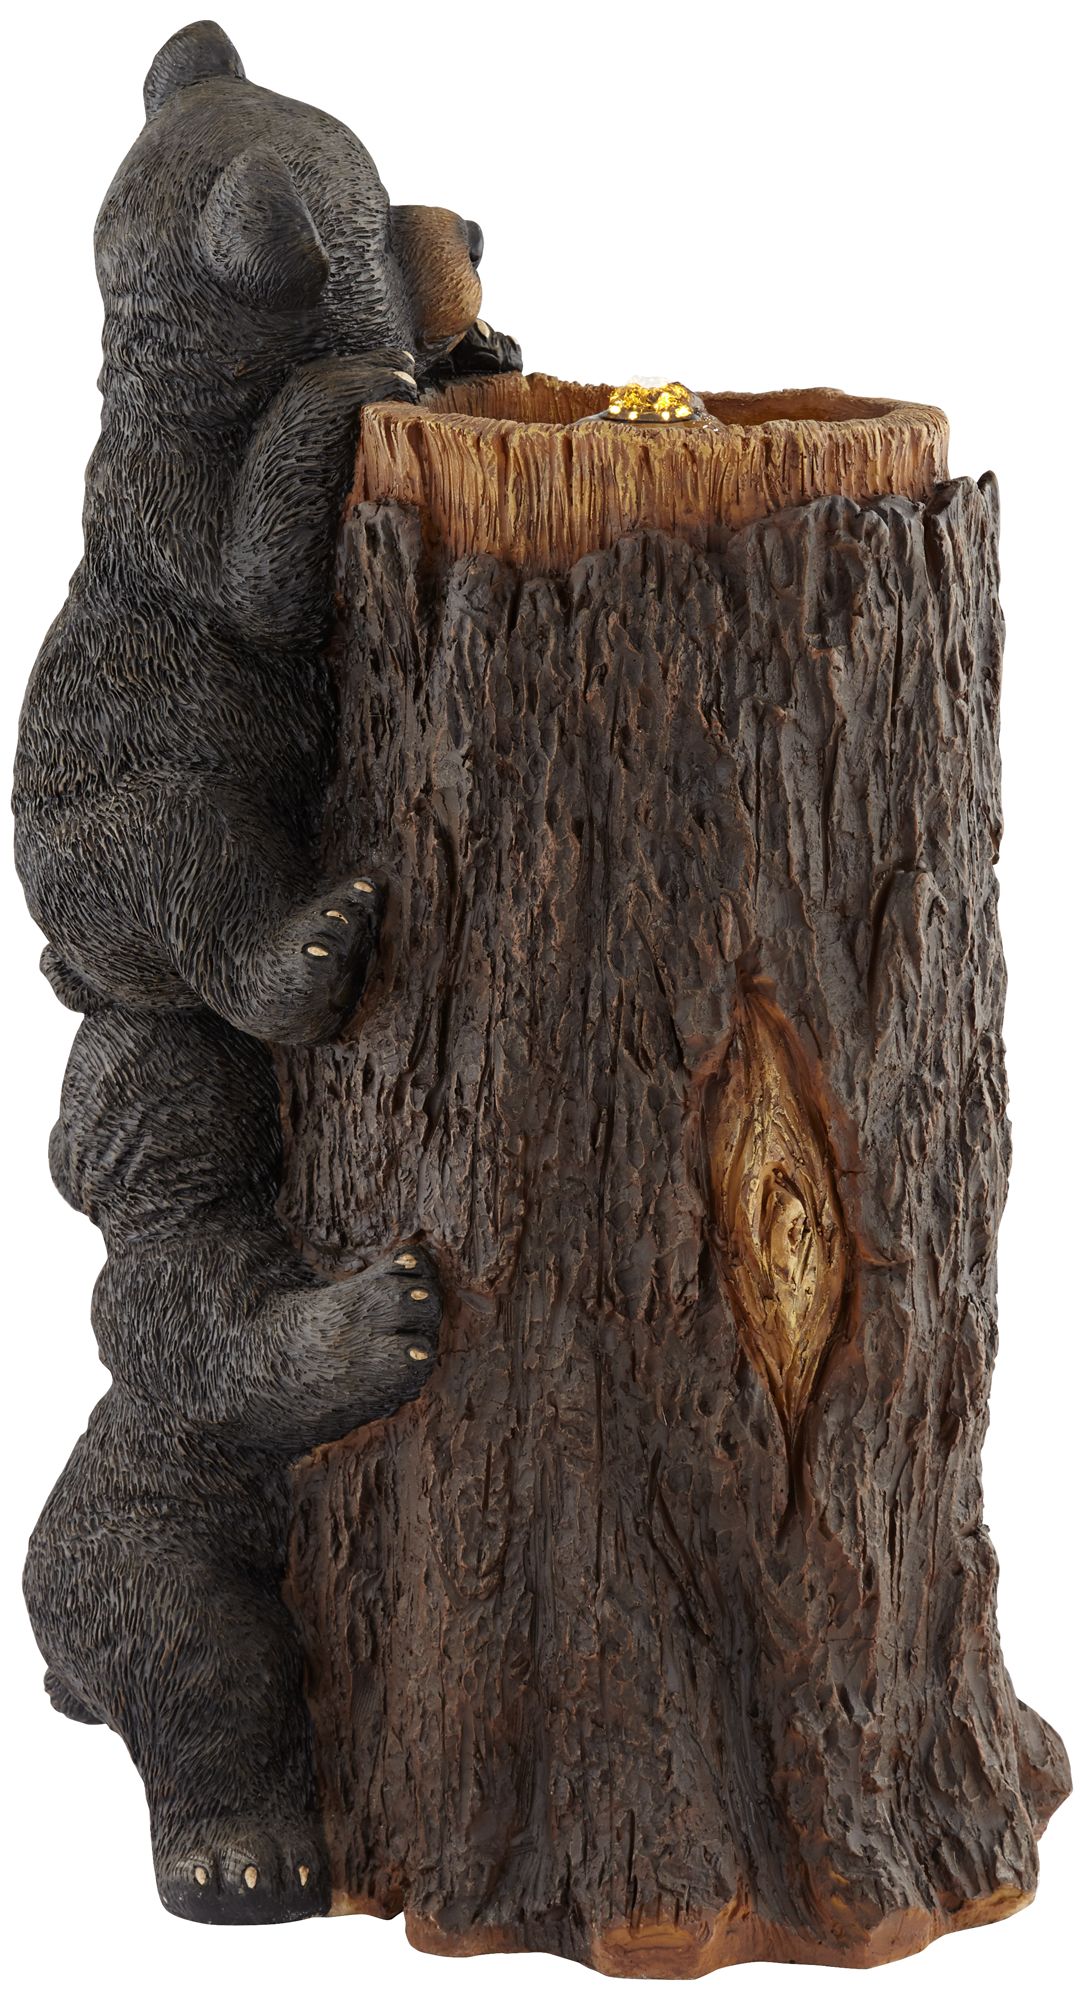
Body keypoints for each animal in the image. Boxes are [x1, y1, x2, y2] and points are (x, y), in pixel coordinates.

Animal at [13, 19, 521, 1044]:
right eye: (377, 214)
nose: (478, 233)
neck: (208, 376)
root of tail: (77, 962)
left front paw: (488, 346)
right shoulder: (176, 501)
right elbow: (261, 592)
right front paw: (357, 375)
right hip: (128, 815)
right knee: (194, 866)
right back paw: (316, 941)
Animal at [24, 994, 444, 1924]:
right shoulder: (168, 1297)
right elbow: (248, 1369)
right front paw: (392, 1312)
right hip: (126, 1558)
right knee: (212, 1663)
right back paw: (243, 1868)